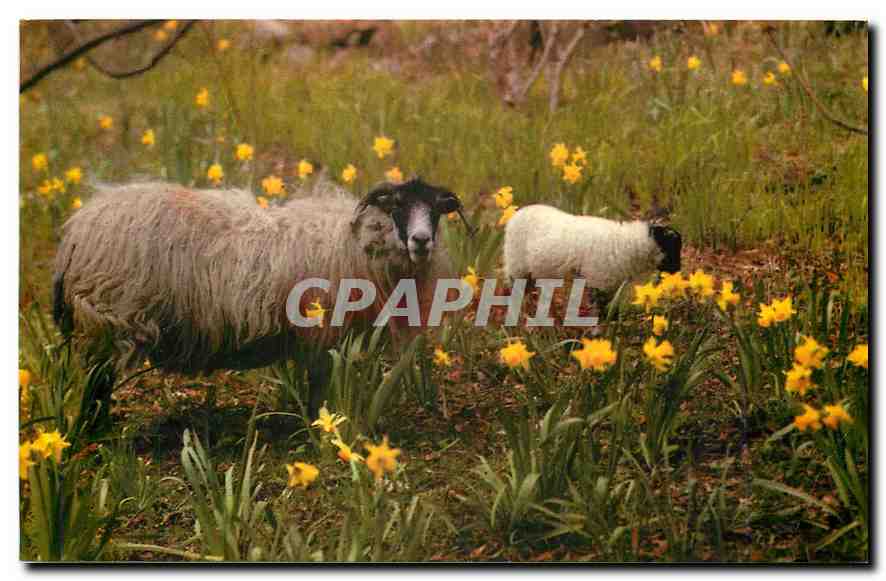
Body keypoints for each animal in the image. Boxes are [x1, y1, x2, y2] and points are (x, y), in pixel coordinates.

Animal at [52, 177, 470, 418]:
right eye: (398, 205)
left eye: (436, 210)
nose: (421, 241)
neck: (354, 242)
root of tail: (75, 230)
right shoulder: (323, 332)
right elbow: (318, 385)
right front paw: (319, 429)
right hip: (111, 317)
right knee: (97, 382)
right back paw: (96, 432)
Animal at [502, 204, 682, 311]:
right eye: (672, 248)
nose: (678, 270)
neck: (628, 245)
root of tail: (521, 211)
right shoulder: (598, 281)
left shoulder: (611, 286)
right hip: (517, 266)